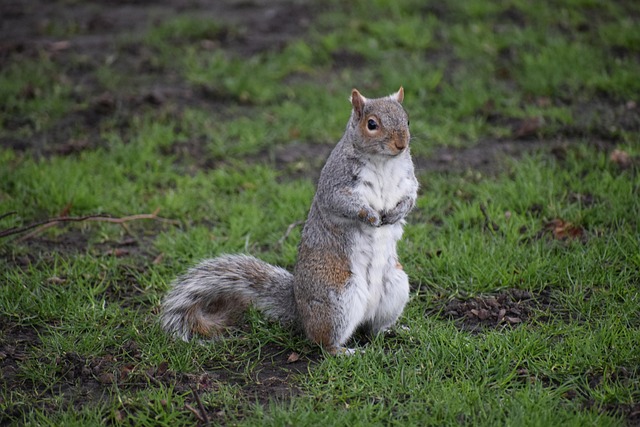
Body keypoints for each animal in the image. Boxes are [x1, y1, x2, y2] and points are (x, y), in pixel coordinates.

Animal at [161, 87, 419, 355]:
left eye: (407, 119)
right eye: (372, 124)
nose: (402, 144)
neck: (383, 162)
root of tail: (300, 310)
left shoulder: (408, 180)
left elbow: (411, 196)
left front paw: (396, 213)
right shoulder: (335, 184)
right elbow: (342, 203)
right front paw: (371, 216)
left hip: (395, 286)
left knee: (372, 328)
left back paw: (394, 330)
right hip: (338, 298)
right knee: (323, 341)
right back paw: (344, 351)